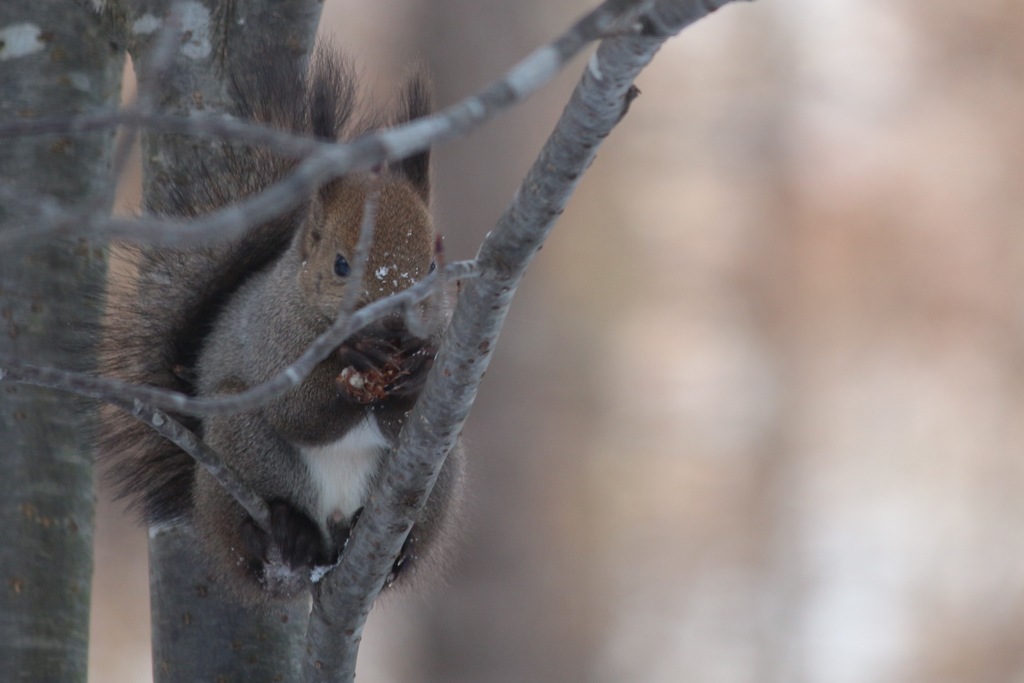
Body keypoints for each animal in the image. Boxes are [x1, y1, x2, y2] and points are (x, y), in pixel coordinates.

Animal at [99, 48, 464, 602]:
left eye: (429, 266)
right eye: (340, 264)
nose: (395, 325)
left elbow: (411, 420)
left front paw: (416, 373)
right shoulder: (273, 339)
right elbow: (297, 412)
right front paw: (354, 364)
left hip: (442, 470)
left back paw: (389, 548)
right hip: (239, 442)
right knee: (256, 524)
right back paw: (284, 528)